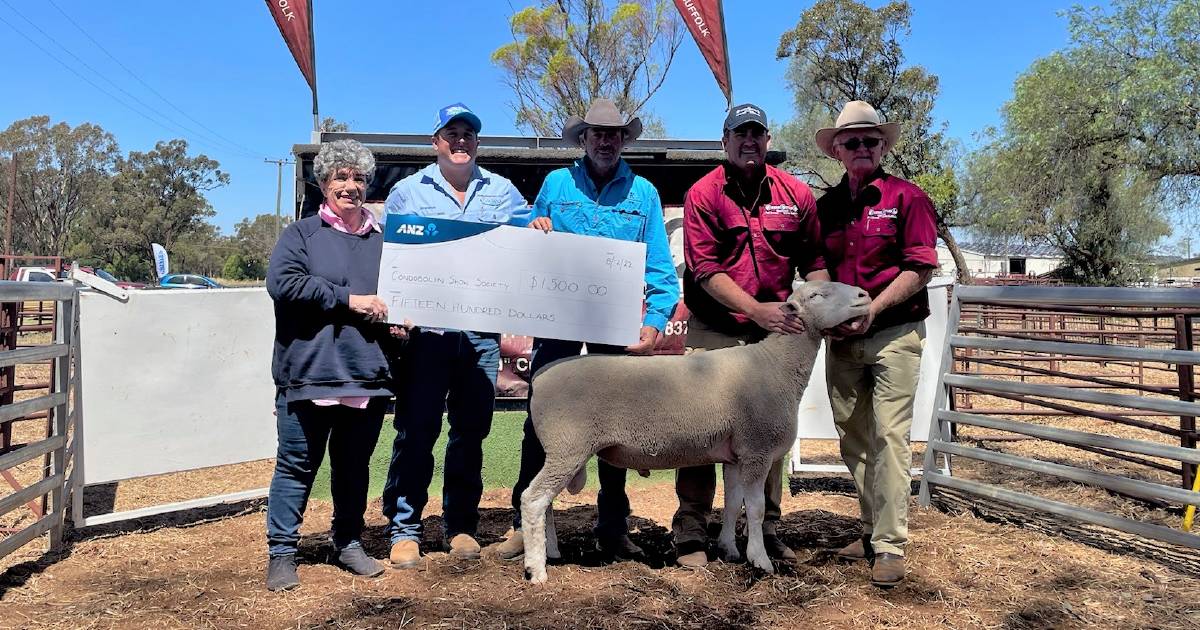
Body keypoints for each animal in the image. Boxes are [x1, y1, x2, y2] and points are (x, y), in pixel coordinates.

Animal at [520, 279, 868, 580]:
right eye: (816, 296)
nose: (864, 296)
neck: (775, 364)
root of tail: (539, 378)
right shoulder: (756, 448)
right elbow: (755, 509)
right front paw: (760, 560)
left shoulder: (736, 454)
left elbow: (733, 504)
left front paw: (729, 550)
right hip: (568, 446)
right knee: (533, 499)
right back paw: (537, 571)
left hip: (560, 450)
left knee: (544, 502)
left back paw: (549, 553)